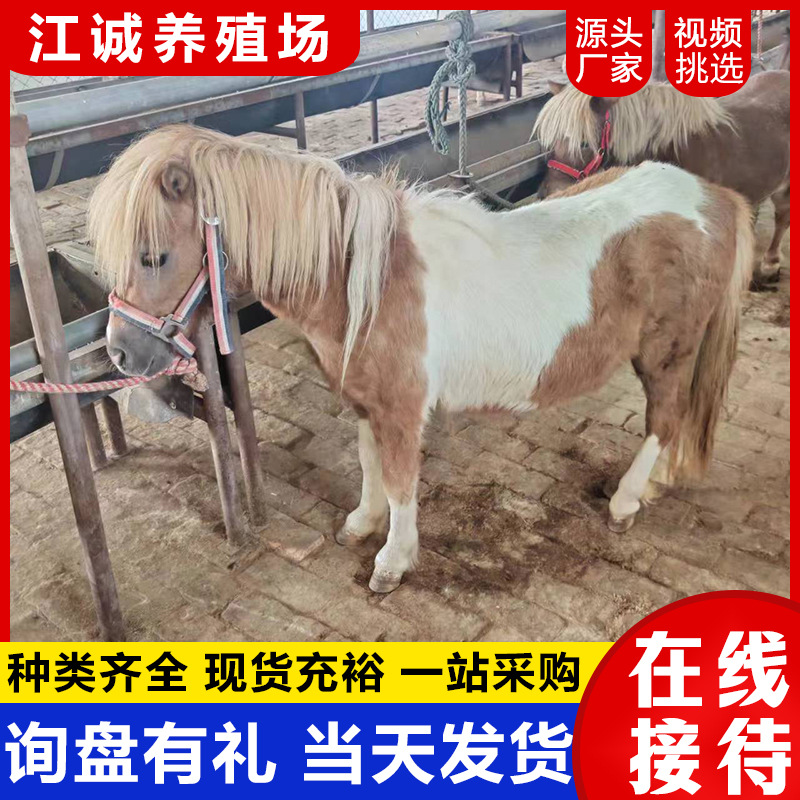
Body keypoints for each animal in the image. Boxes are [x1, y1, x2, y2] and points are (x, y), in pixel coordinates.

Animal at [89, 125, 753, 594]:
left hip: (666, 354)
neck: (364, 280)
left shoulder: (402, 409)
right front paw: (361, 523)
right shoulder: (364, 402)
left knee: (664, 420)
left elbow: (402, 479)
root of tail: (713, 197)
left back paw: (625, 501)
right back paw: (657, 485)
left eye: (153, 256)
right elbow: (369, 466)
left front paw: (392, 562)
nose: (119, 351)